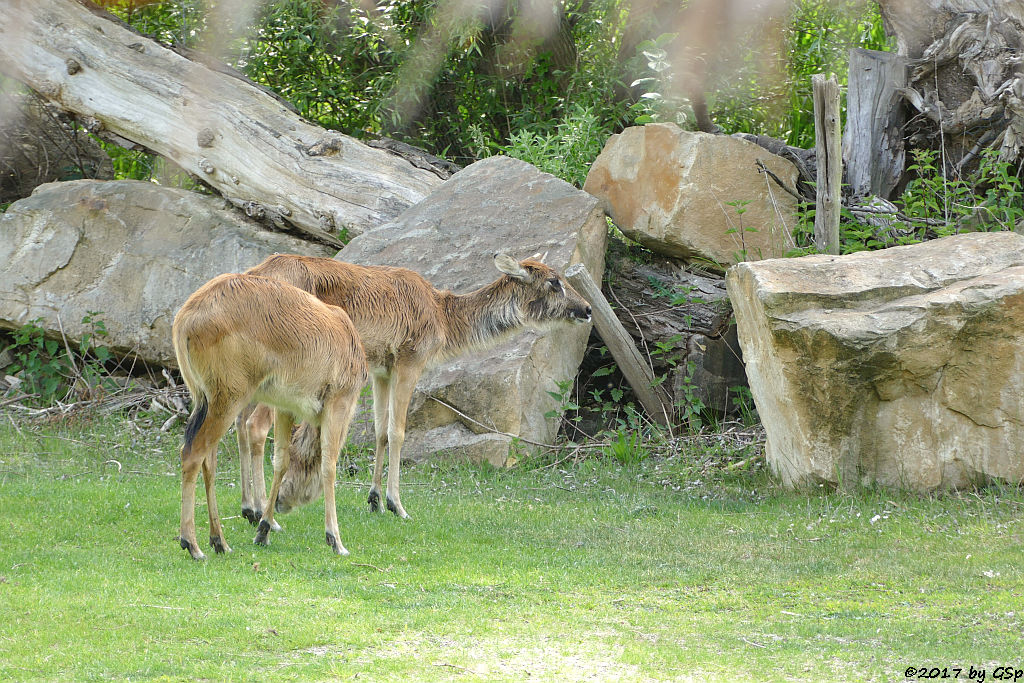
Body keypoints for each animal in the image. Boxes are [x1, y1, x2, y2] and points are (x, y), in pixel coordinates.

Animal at [172, 272, 368, 561]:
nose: (283, 503)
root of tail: (185, 317)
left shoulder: (285, 408)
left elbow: (280, 461)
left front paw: (263, 528)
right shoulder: (338, 403)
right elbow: (329, 465)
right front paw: (335, 539)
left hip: (205, 401)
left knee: (209, 461)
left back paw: (219, 540)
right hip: (228, 401)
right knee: (193, 454)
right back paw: (193, 544)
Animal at [236, 253, 593, 520]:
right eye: (554, 281)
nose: (587, 309)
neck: (444, 321)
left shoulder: (381, 368)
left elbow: (380, 430)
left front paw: (375, 499)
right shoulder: (411, 358)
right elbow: (398, 431)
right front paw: (397, 503)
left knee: (238, 421)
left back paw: (249, 507)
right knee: (255, 425)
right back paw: (263, 513)